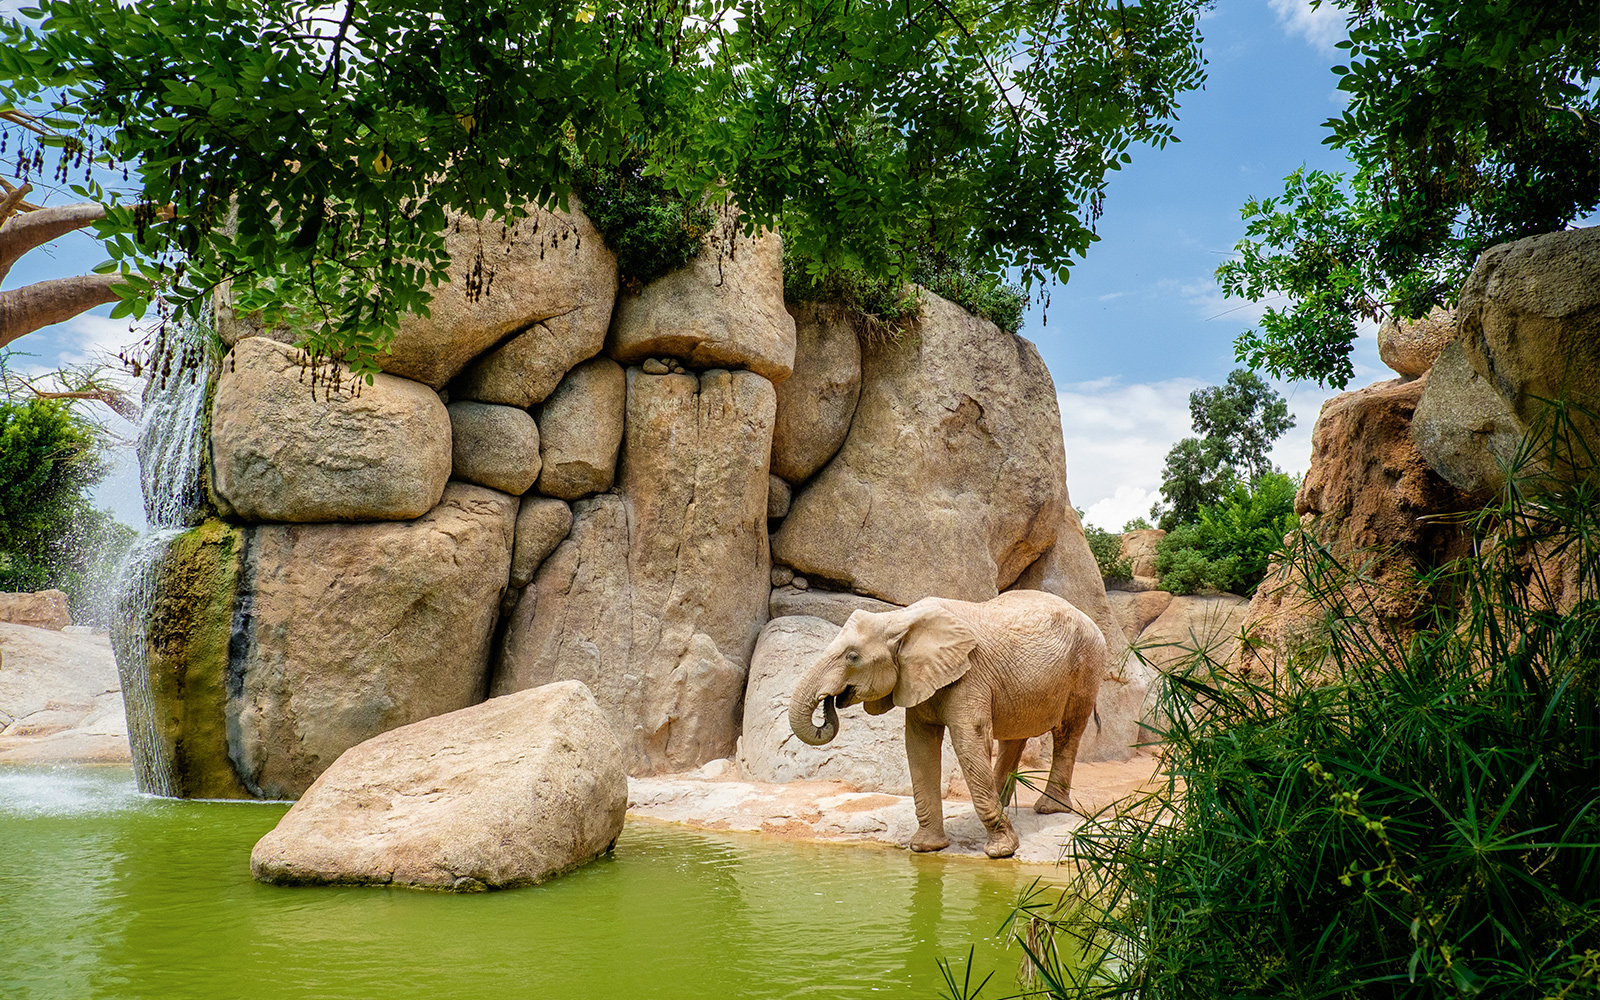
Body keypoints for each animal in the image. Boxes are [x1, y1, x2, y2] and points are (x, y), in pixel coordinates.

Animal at [788, 589, 1105, 858]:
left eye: (852, 657)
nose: (830, 701)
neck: (901, 619)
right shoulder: (918, 678)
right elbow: (919, 747)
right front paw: (925, 848)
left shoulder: (970, 673)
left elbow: (969, 742)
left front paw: (1001, 851)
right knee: (1015, 736)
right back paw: (1004, 802)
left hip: (1087, 664)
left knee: (1067, 731)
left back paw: (1050, 809)